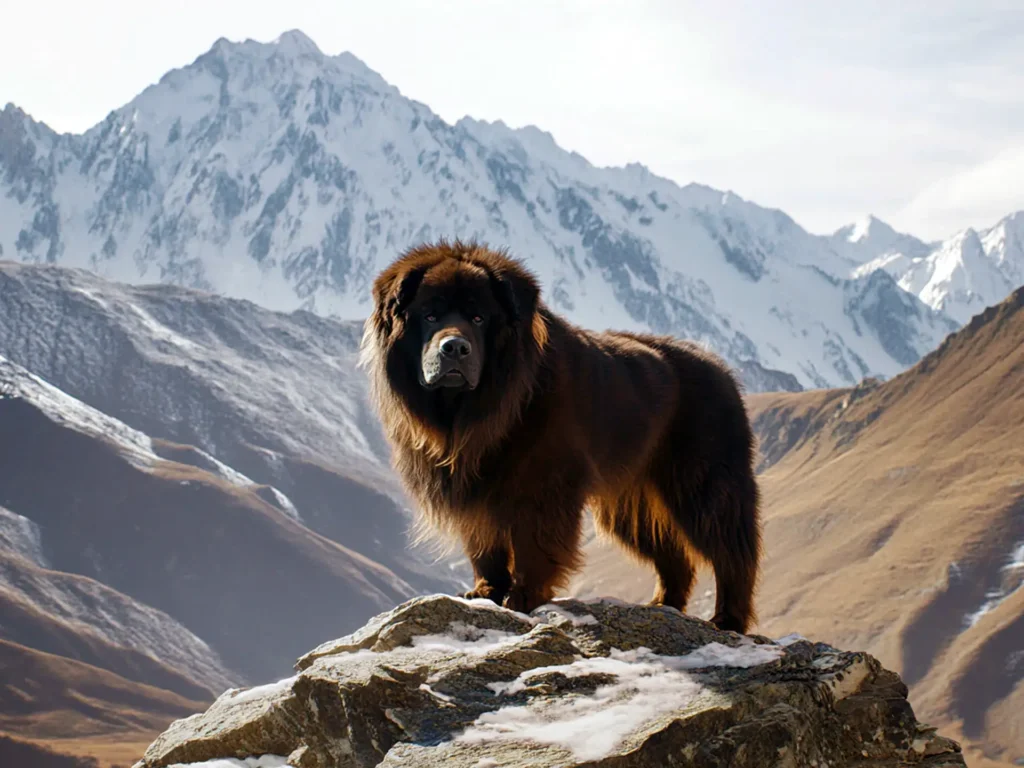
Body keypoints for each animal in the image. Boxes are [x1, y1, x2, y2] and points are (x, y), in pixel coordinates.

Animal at [360, 239, 761, 630]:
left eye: (478, 317)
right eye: (430, 315)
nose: (455, 348)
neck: (483, 406)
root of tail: (720, 367)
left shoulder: (545, 482)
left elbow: (533, 543)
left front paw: (524, 595)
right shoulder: (474, 486)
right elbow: (484, 543)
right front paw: (486, 591)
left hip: (703, 484)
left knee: (732, 551)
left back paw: (728, 618)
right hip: (631, 504)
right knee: (675, 557)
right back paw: (665, 605)